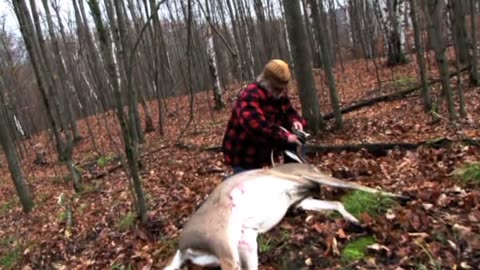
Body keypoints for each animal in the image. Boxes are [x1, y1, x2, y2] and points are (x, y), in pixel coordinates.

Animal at [163, 162, 406, 270]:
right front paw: (402, 195)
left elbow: (335, 202)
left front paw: (355, 220)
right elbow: (356, 185)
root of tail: (182, 247)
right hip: (222, 239)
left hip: (245, 242)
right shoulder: (303, 180)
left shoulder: (300, 200)